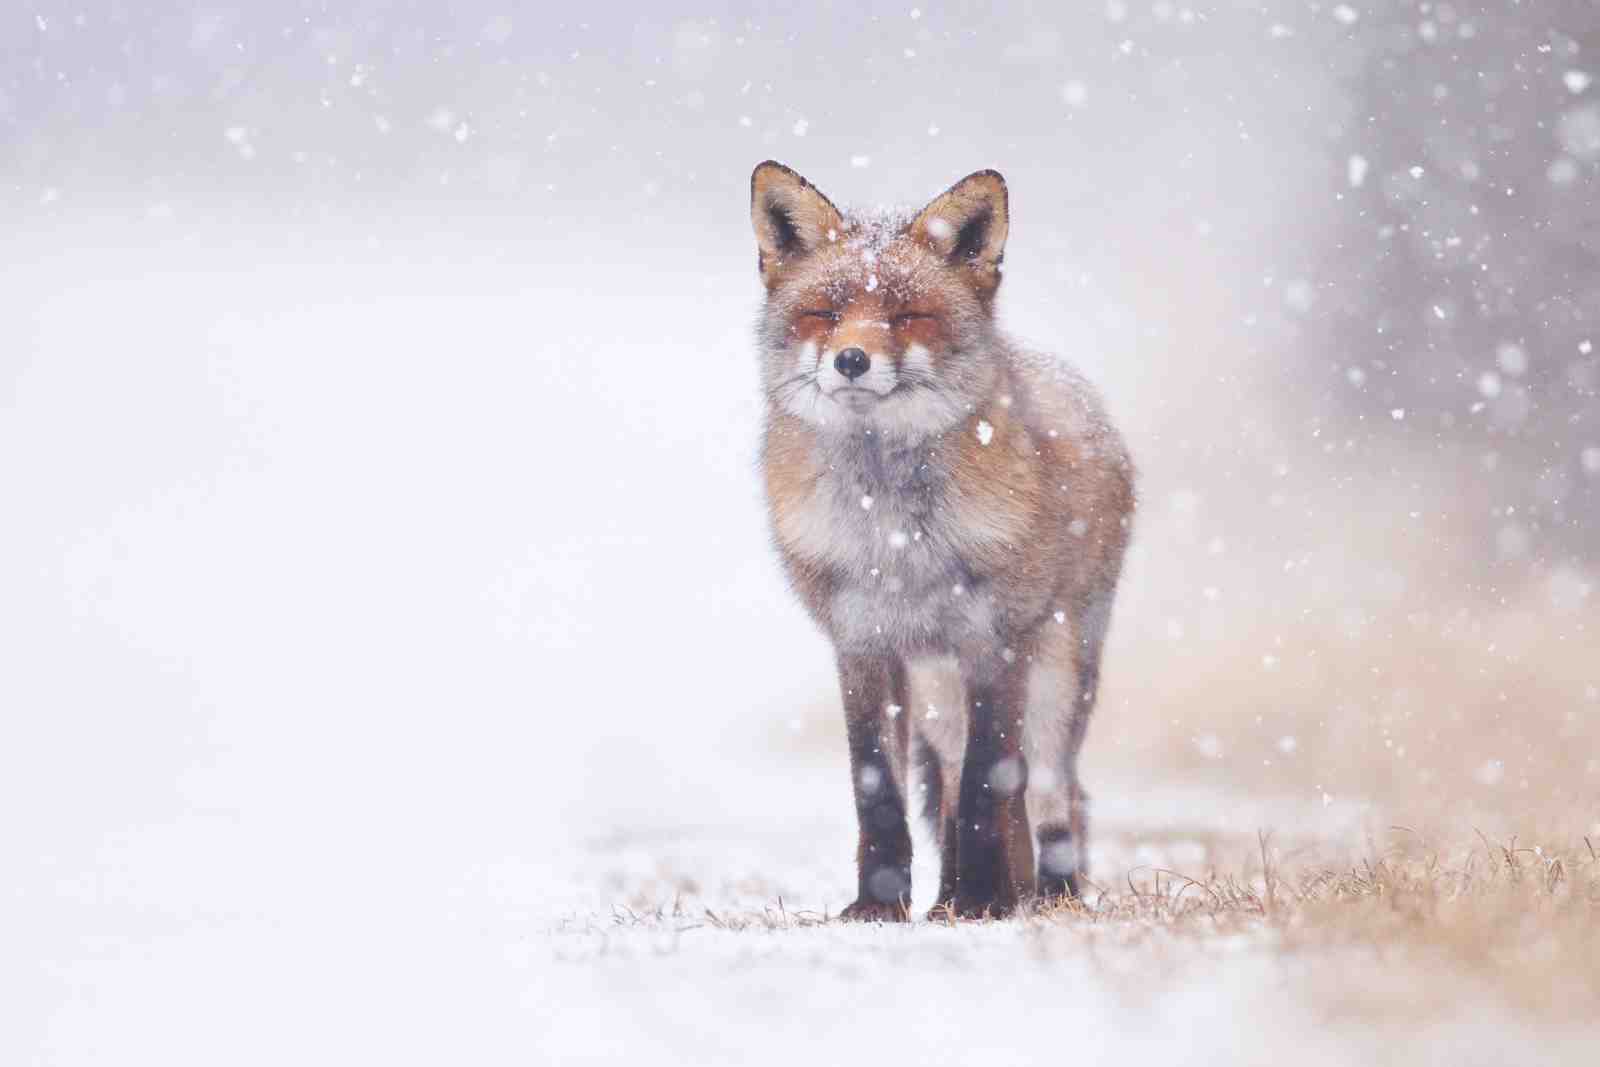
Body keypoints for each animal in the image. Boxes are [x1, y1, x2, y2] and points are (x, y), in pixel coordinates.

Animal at [750, 161, 1136, 920]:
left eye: (907, 317)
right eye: (825, 313)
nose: (851, 359)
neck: (894, 536)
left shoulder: (992, 639)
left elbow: (992, 780)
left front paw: (988, 900)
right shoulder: (862, 643)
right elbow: (880, 789)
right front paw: (879, 906)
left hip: (1055, 673)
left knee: (1052, 791)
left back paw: (1043, 895)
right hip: (935, 688)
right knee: (955, 780)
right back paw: (950, 896)